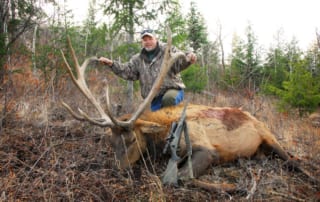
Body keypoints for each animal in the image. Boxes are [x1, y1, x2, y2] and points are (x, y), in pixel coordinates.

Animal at [59, 33, 318, 193]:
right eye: (110, 141)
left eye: (132, 139)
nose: (118, 170)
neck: (161, 135)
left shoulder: (206, 148)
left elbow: (182, 178)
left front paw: (234, 188)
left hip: (269, 136)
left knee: (293, 160)